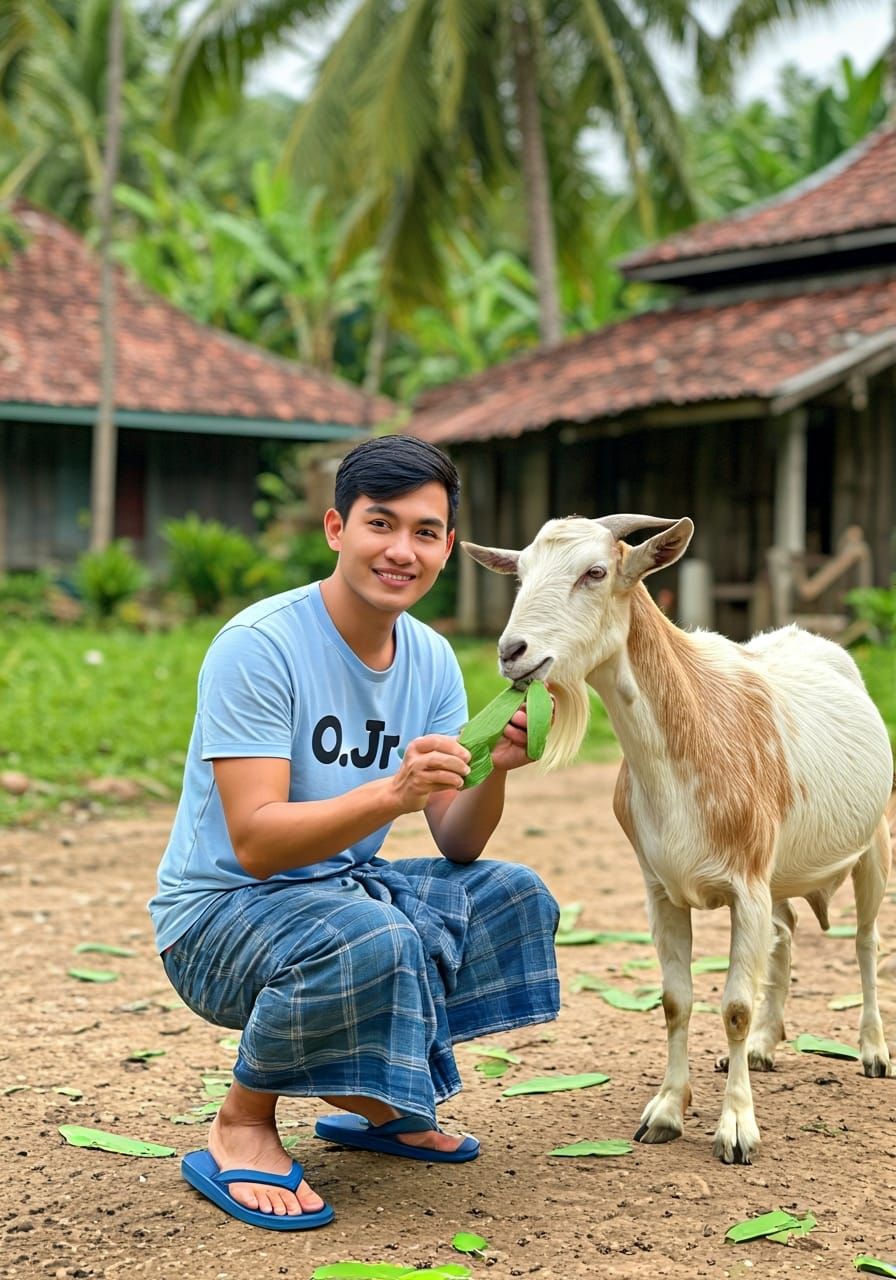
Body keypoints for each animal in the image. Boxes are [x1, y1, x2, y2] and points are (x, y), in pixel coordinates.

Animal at [463, 514, 894, 1164]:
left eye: (595, 572)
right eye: (522, 573)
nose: (513, 653)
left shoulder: (746, 886)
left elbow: (734, 1007)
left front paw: (737, 1128)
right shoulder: (662, 889)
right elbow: (675, 1001)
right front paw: (666, 1111)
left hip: (873, 842)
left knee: (867, 940)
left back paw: (871, 1051)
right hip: (782, 871)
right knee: (788, 931)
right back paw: (766, 1046)